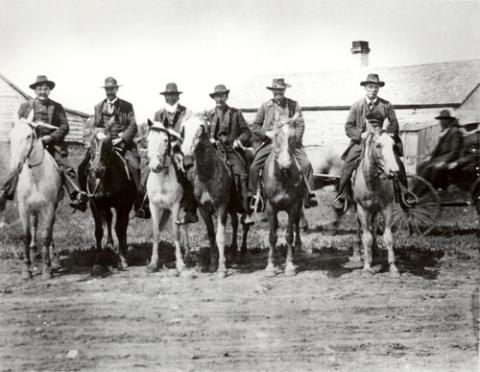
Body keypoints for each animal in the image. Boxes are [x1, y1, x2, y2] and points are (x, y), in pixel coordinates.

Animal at [9, 116, 63, 280]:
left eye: (29, 136)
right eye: (11, 137)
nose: (14, 167)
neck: (35, 177)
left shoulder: (49, 207)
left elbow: (46, 235)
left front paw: (47, 269)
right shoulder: (23, 208)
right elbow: (26, 235)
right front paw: (26, 270)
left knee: (50, 229)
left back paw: (54, 259)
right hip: (34, 209)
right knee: (34, 224)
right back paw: (35, 252)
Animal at [79, 129, 134, 274]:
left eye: (108, 144)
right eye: (92, 144)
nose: (97, 170)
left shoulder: (122, 204)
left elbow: (119, 228)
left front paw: (122, 260)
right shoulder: (95, 204)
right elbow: (98, 231)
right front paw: (98, 262)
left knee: (123, 225)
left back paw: (123, 248)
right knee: (108, 219)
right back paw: (109, 243)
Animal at [144, 120, 191, 274]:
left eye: (166, 140)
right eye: (148, 140)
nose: (155, 166)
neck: (162, 180)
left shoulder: (175, 206)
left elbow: (176, 232)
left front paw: (180, 264)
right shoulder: (154, 207)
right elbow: (156, 232)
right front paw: (153, 263)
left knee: (185, 226)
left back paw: (187, 255)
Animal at [262, 119, 304, 276]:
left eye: (292, 136)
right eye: (276, 135)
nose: (285, 163)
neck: (282, 177)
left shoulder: (293, 206)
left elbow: (289, 235)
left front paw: (290, 265)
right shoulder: (270, 207)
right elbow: (272, 236)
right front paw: (270, 266)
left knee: (297, 223)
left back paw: (298, 246)